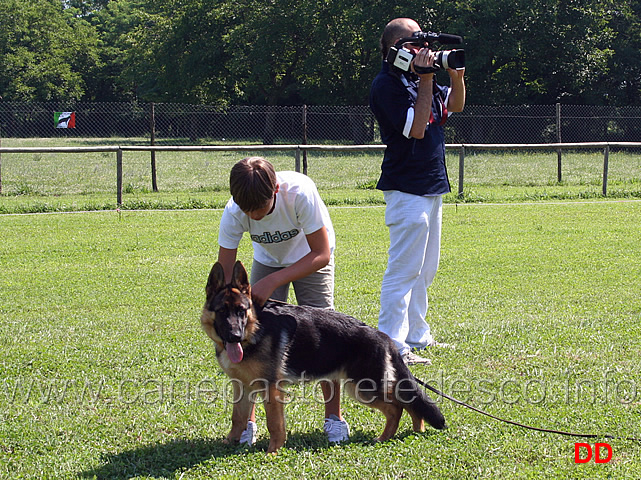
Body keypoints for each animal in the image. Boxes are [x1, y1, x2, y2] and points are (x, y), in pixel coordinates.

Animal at [201, 260, 444, 452]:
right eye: (222, 311)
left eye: (242, 311)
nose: (235, 335)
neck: (254, 331)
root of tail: (382, 335)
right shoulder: (242, 386)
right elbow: (238, 418)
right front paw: (229, 443)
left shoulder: (271, 389)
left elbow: (275, 424)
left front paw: (273, 451)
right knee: (408, 401)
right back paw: (416, 429)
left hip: (362, 389)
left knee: (396, 407)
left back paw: (384, 437)